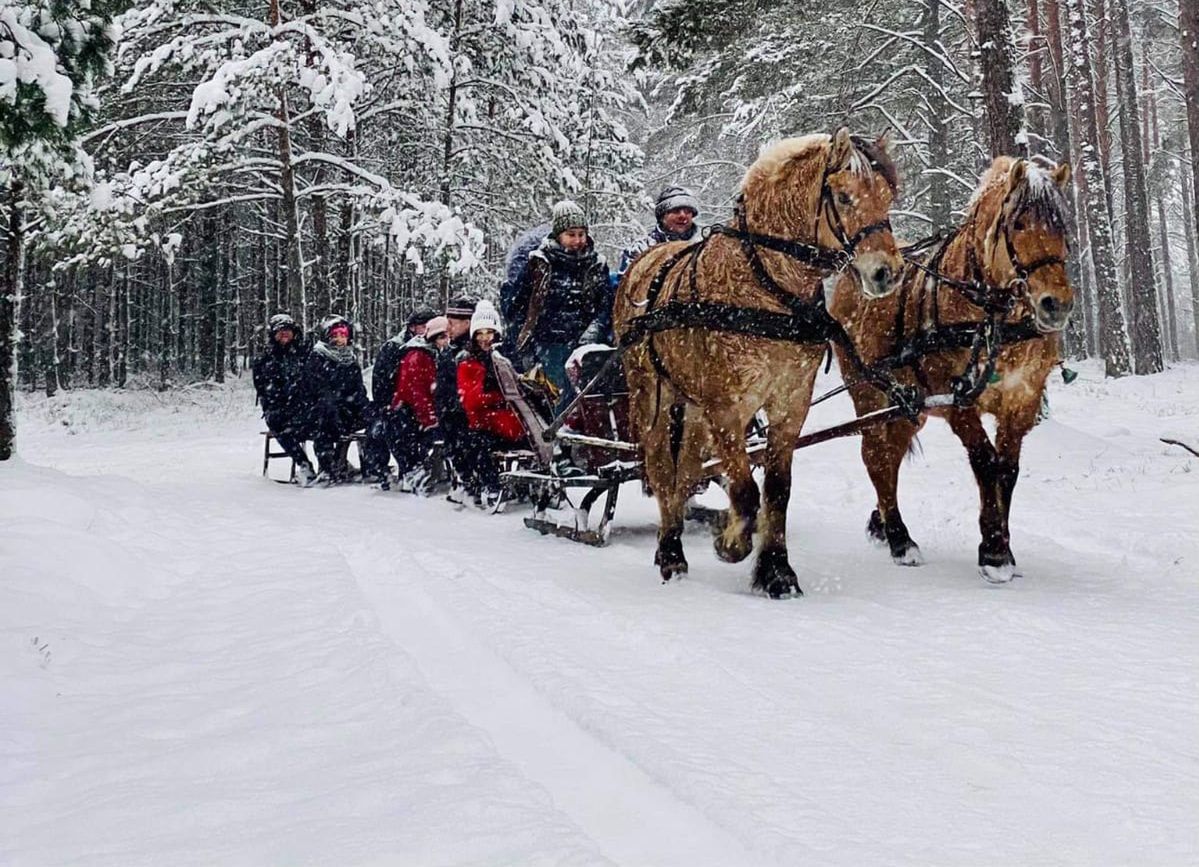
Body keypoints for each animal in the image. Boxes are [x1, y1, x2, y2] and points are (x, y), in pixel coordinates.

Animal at [618, 128, 901, 599]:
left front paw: (776, 570)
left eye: (888, 196)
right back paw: (671, 553)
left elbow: (777, 490)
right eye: (844, 196)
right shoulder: (728, 407)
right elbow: (746, 490)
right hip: (652, 396)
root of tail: (641, 265)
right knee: (660, 468)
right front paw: (731, 542)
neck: (768, 287)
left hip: (693, 407)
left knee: (686, 472)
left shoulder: (790, 404)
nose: (887, 273)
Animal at [829, 159, 1074, 587]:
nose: (1055, 304)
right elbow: (985, 462)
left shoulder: (1021, 399)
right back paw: (900, 539)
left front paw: (1002, 544)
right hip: (869, 390)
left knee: (891, 455)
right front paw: (993, 550)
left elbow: (1007, 470)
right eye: (1019, 224)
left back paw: (882, 523)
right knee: (875, 455)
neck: (991, 318)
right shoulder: (957, 397)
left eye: (1062, 226)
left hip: (908, 404)